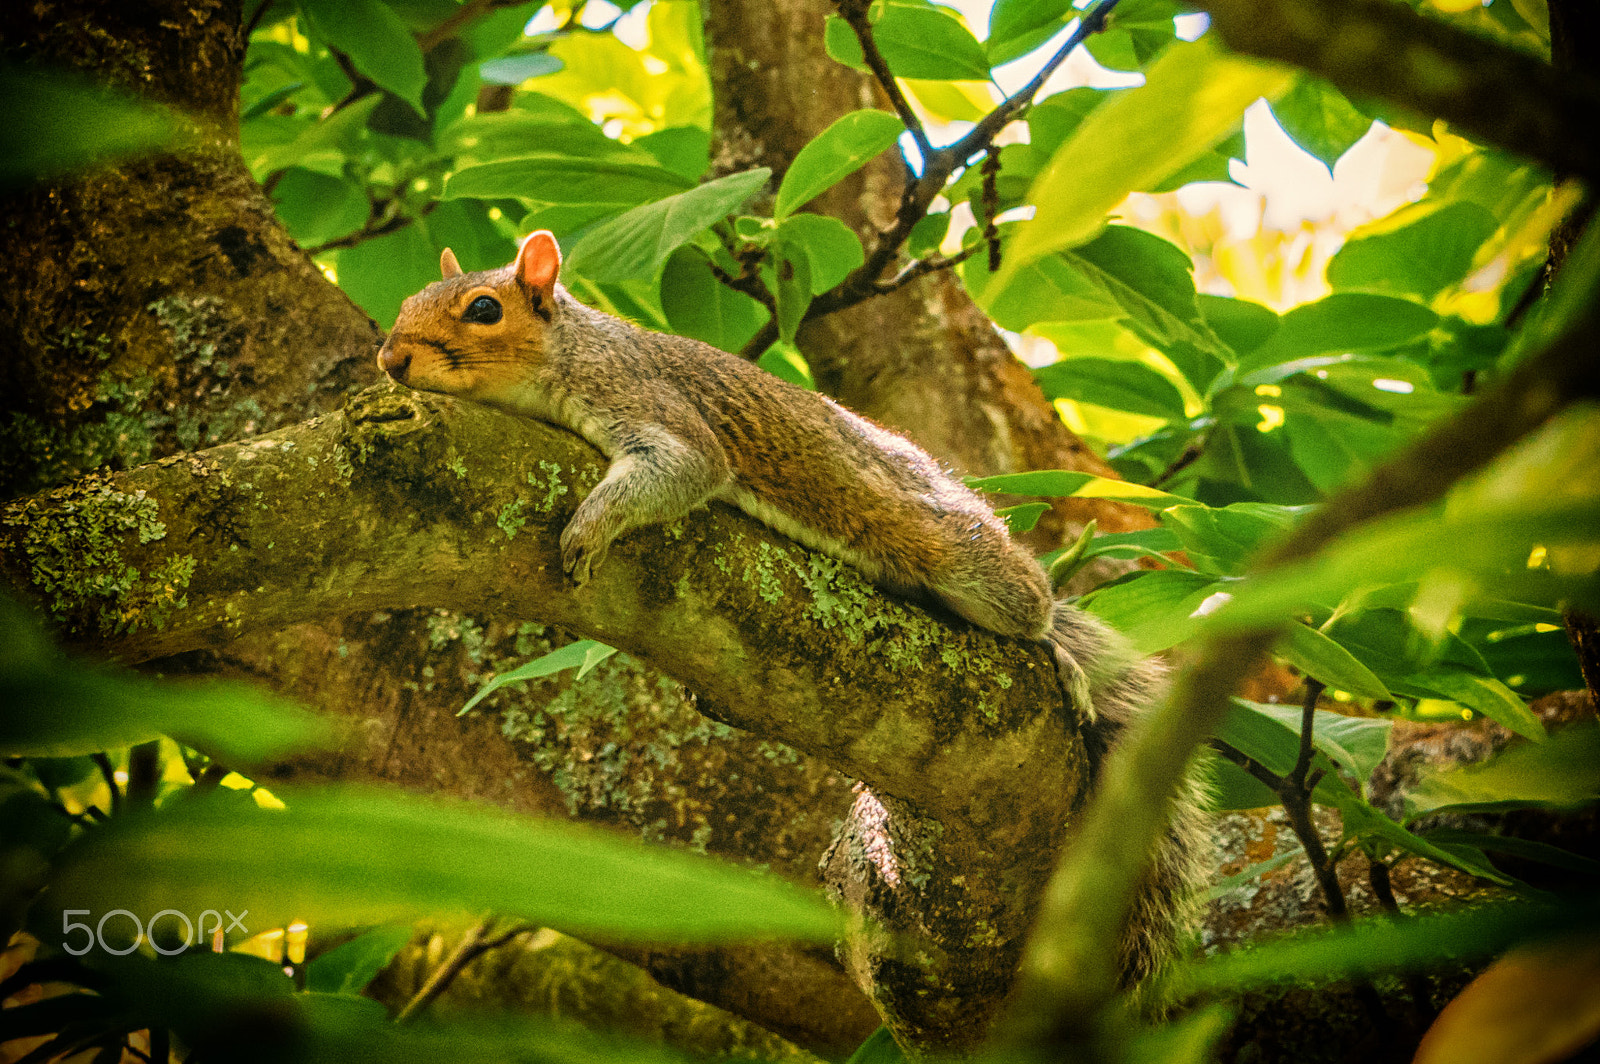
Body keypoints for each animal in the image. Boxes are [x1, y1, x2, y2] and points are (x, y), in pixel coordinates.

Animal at [374, 230, 1203, 985]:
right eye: (409, 298)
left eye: (485, 308)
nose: (390, 360)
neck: (572, 351)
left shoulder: (649, 403)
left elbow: (684, 466)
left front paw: (588, 528)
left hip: (965, 562)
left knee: (1032, 611)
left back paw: (1060, 653)